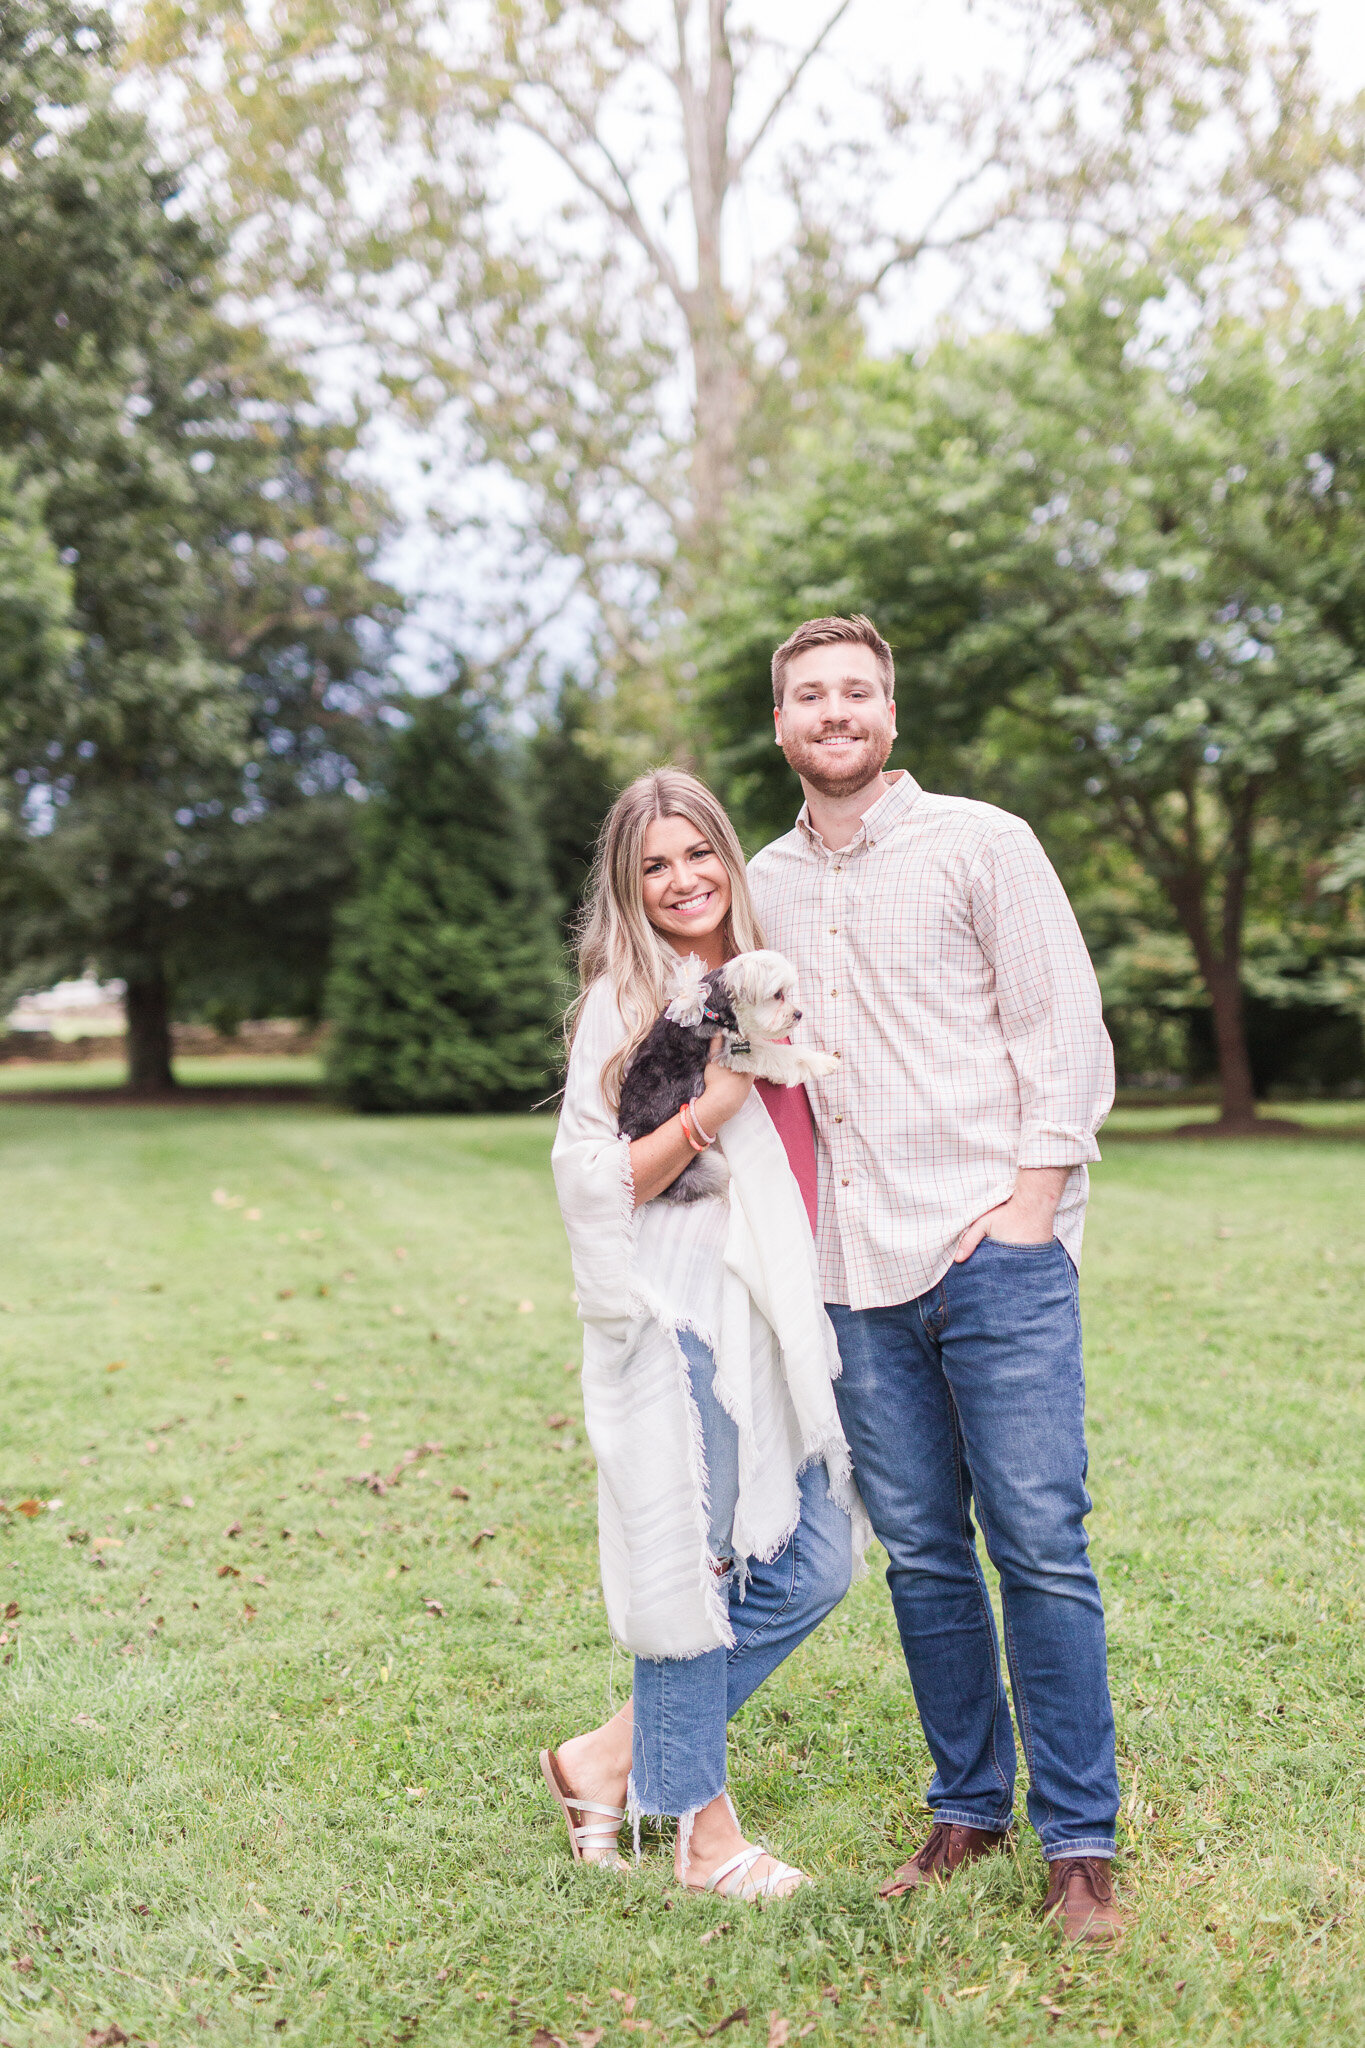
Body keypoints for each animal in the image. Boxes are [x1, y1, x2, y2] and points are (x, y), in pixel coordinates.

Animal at [618, 950, 834, 1204]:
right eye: (777, 995)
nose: (798, 1014)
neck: (714, 1008)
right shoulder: (735, 1051)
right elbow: (779, 1055)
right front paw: (822, 1062)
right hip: (707, 1169)